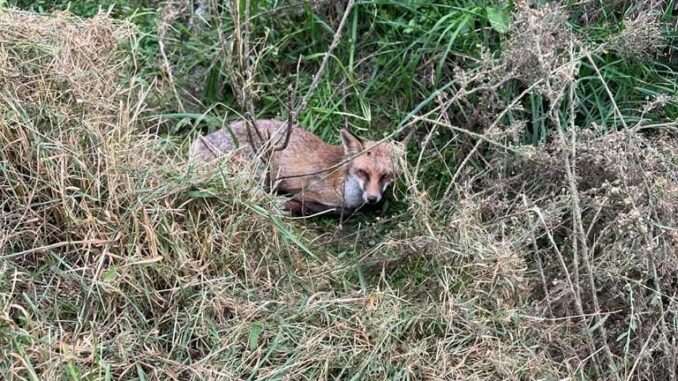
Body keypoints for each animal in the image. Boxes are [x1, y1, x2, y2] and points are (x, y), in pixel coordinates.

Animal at [190, 119, 404, 215]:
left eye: (386, 176)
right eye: (363, 172)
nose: (372, 198)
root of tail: (198, 143)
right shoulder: (300, 187)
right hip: (259, 167)